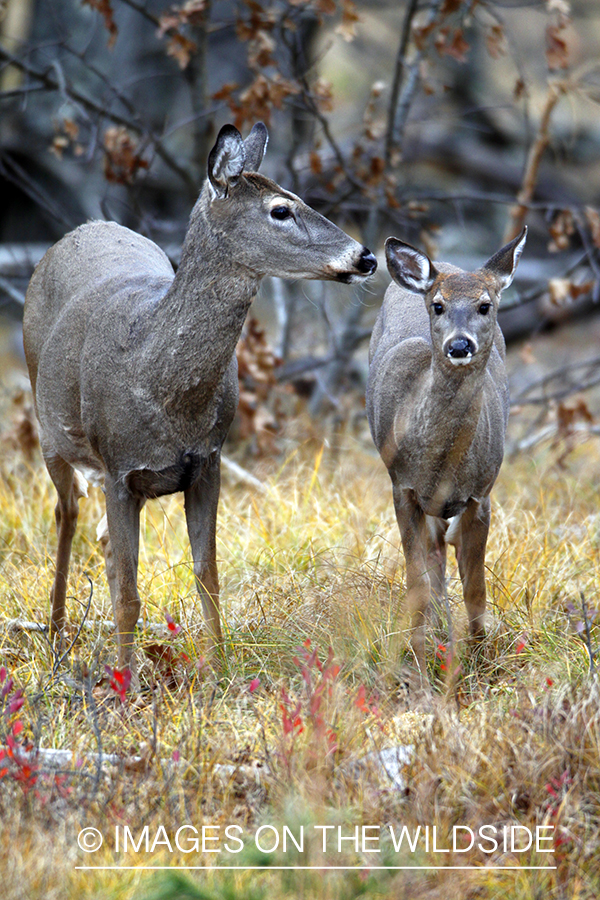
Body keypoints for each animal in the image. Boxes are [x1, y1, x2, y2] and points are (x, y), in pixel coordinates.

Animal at [24, 125, 376, 676]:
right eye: (281, 209)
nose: (365, 257)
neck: (161, 388)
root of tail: (83, 227)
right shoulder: (119, 468)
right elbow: (130, 597)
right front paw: (125, 683)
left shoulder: (207, 463)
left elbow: (207, 576)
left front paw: (220, 670)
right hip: (50, 433)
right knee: (67, 516)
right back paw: (58, 638)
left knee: (98, 536)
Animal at [366, 229, 524, 680]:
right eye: (438, 305)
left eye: (485, 305)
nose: (459, 345)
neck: (441, 465)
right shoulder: (402, 487)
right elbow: (416, 582)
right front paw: (419, 665)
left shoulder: (480, 493)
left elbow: (475, 588)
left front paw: (482, 661)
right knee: (433, 559)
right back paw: (435, 636)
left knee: (443, 553)